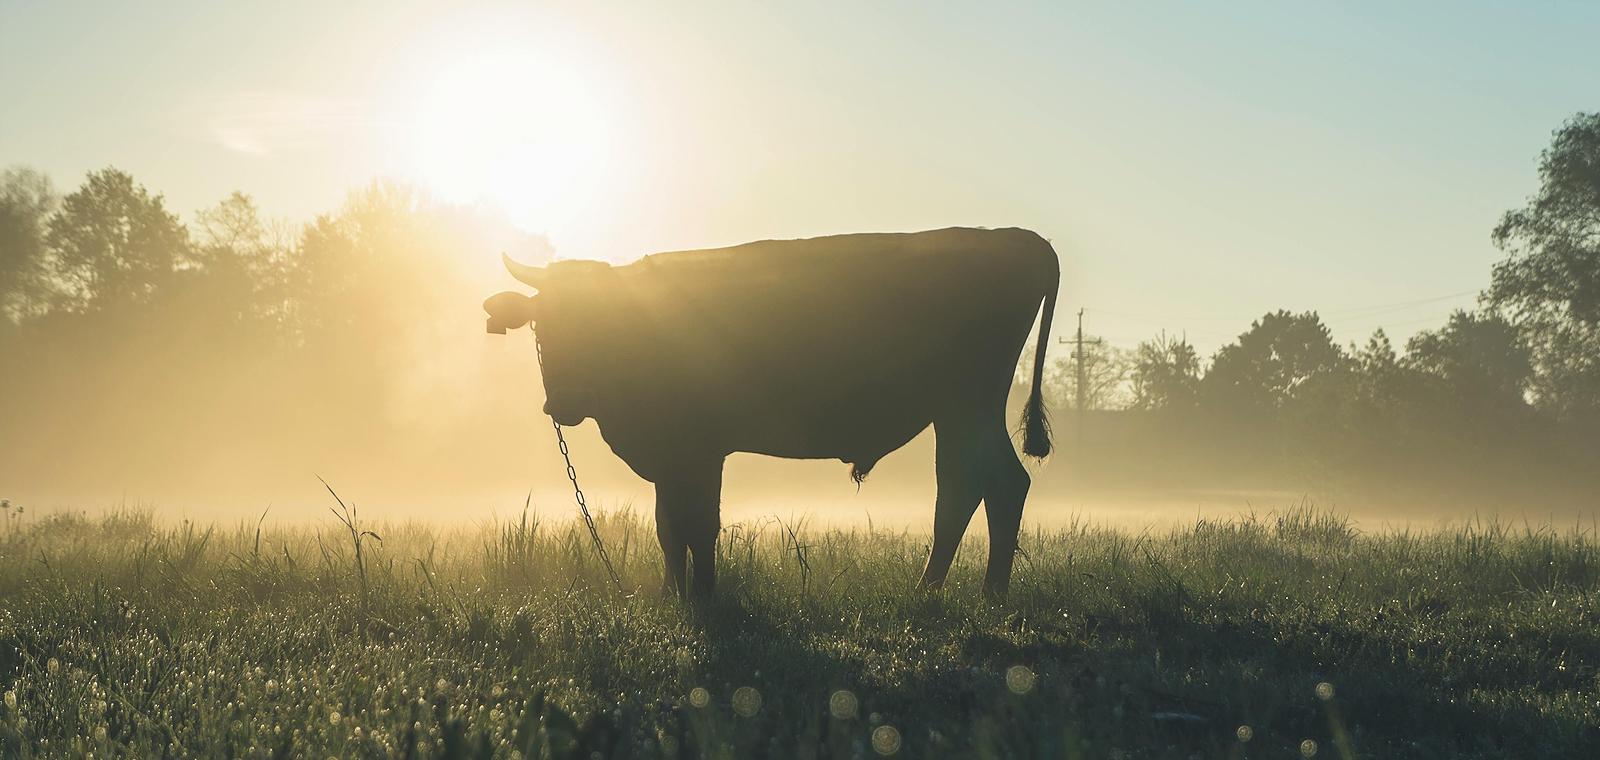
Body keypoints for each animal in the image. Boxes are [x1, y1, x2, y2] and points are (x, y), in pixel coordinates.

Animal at [486, 227, 1062, 601]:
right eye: (542, 322)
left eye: (599, 319)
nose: (565, 401)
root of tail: (1018, 237)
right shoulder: (672, 458)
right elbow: (667, 527)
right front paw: (673, 595)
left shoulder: (700, 451)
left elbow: (700, 525)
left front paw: (704, 597)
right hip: (959, 412)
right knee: (978, 487)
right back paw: (957, 593)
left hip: (968, 404)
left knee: (986, 486)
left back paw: (965, 595)